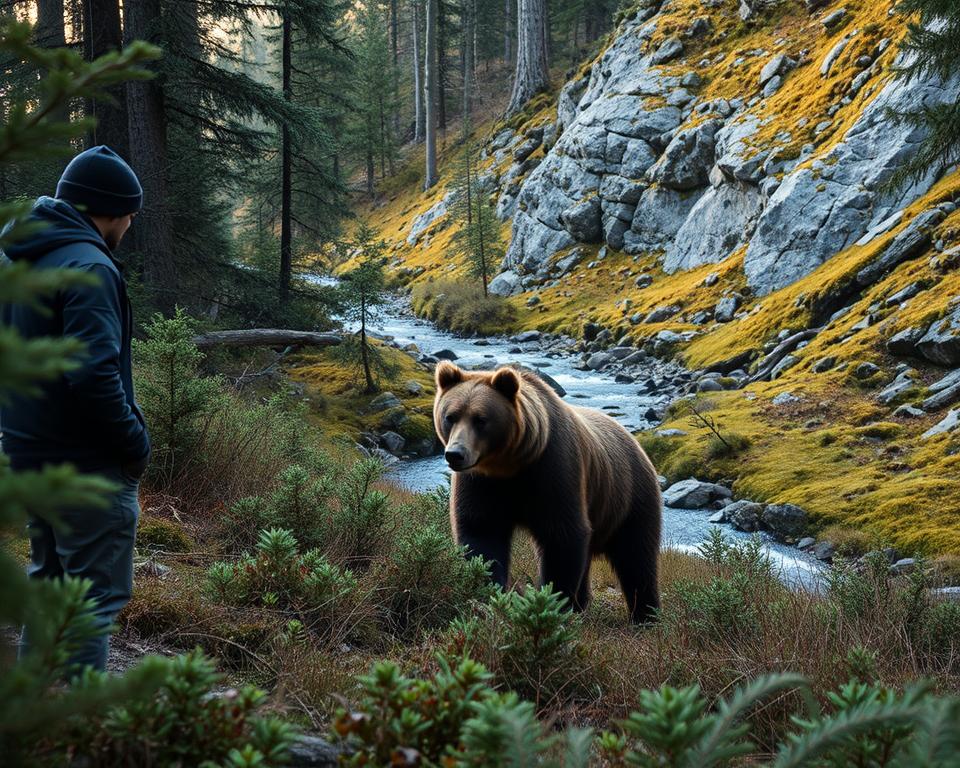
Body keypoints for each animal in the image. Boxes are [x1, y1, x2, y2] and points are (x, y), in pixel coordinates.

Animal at [432, 360, 662, 623]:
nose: (455, 454)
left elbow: (562, 537)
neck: (509, 466)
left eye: (480, 419)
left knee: (636, 557)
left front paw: (553, 602)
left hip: (629, 497)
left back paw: (646, 615)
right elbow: (481, 533)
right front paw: (489, 594)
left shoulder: (553, 470)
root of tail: (633, 440)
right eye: (450, 416)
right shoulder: (481, 482)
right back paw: (583, 604)